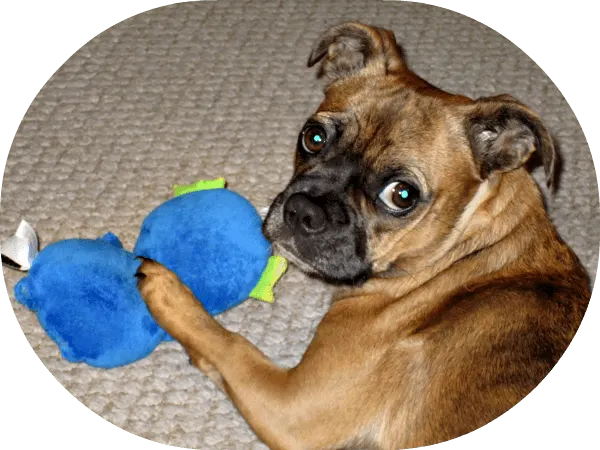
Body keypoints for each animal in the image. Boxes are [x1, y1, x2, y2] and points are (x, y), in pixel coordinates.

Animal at [136, 22, 592, 450]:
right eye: (313, 137)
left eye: (402, 195)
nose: (304, 210)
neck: (465, 256)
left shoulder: (292, 405)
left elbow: (229, 344)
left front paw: (167, 290)